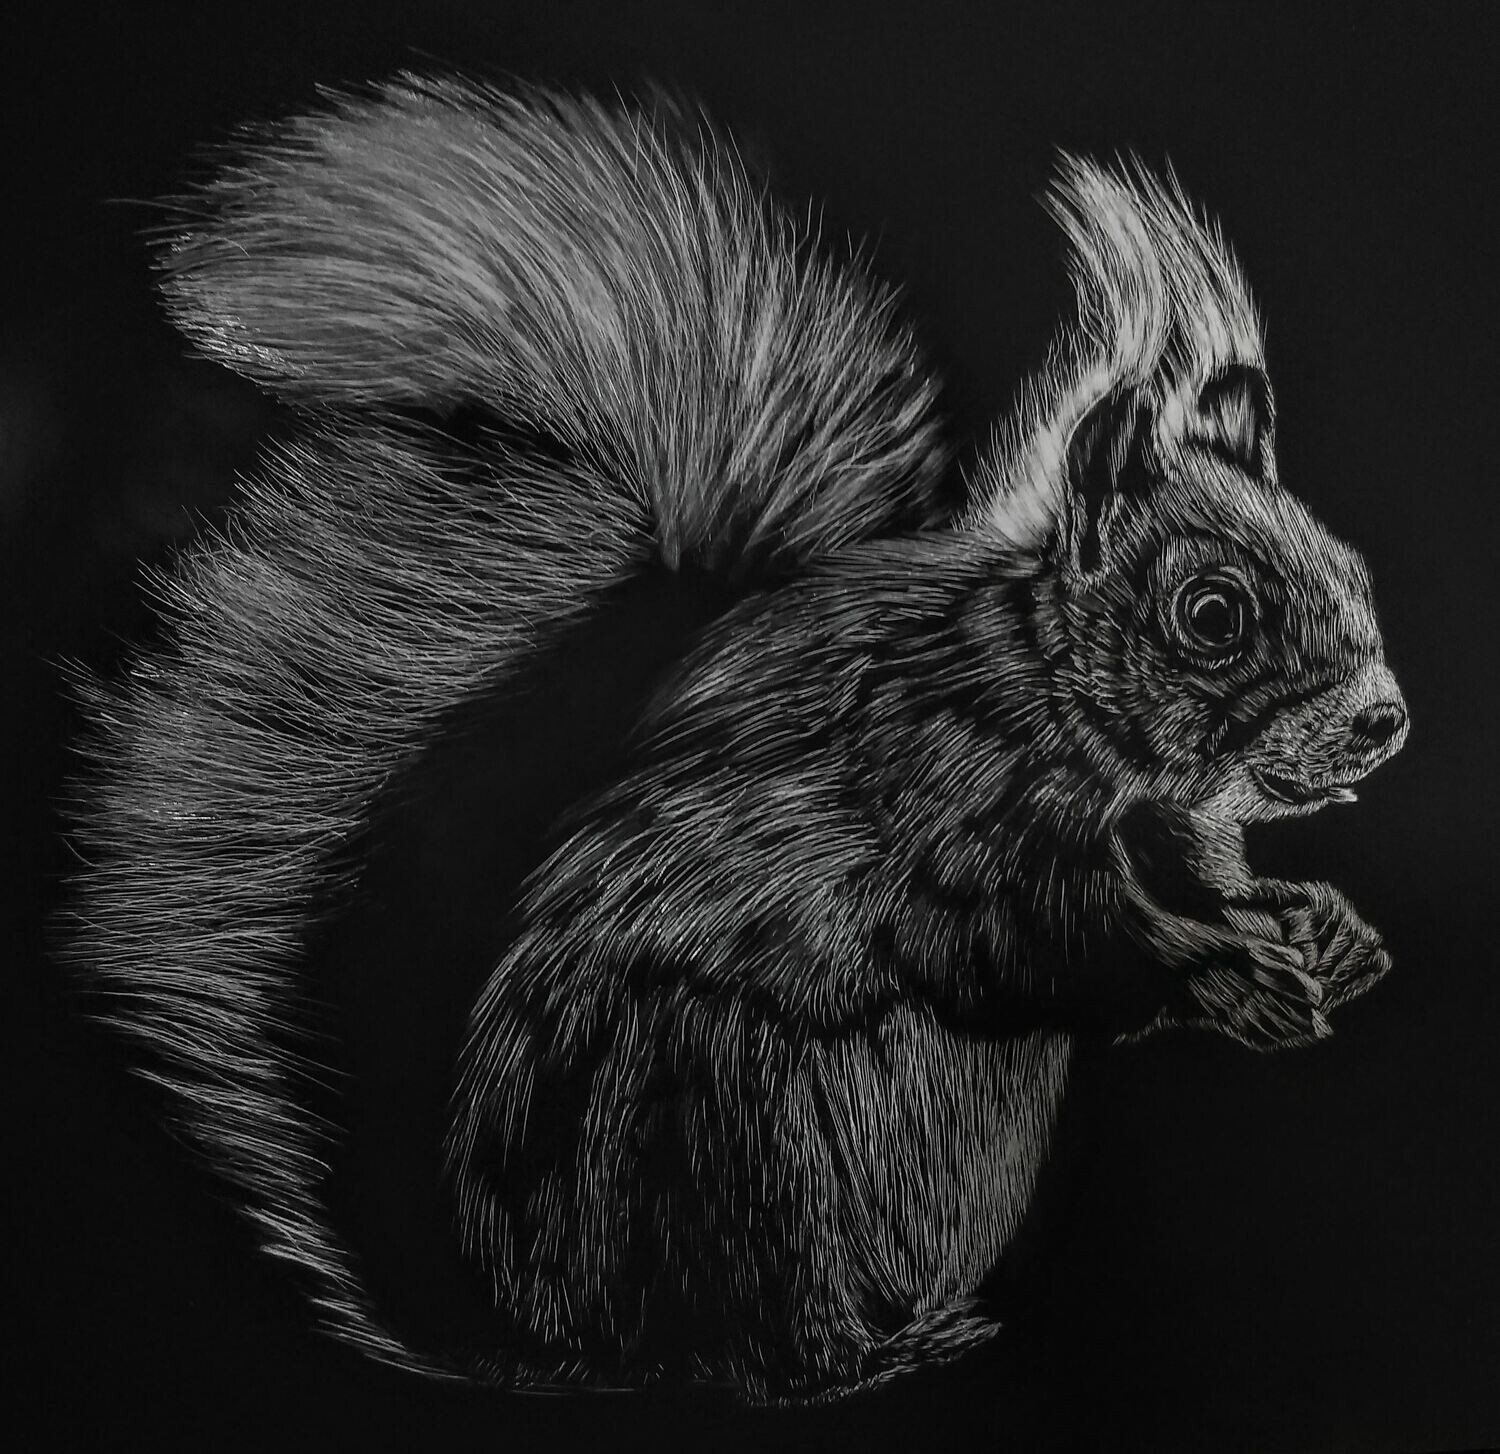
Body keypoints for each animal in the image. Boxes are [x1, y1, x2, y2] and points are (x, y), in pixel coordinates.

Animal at [62, 75, 1408, 1404]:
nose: (1384, 718)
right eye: (1212, 612)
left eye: (1350, 564)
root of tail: (547, 1337)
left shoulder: (1169, 830)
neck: (1076, 720)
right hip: (722, 1121)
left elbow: (1196, 887)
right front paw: (1222, 973)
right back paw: (856, 1356)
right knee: (748, 1338)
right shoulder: (931, 783)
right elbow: (1026, 939)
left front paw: (1320, 927)